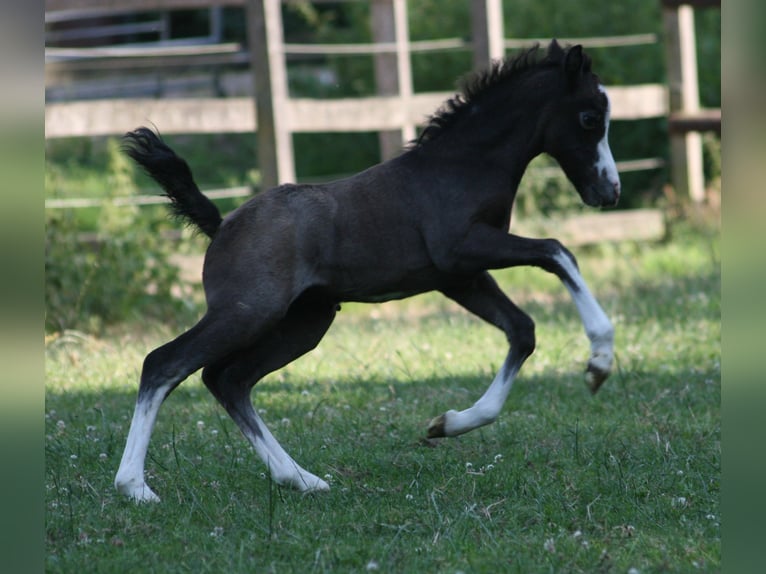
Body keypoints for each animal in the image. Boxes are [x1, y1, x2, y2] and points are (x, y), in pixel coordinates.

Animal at [117, 40, 620, 502]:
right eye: (590, 118)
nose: (610, 191)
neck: (461, 167)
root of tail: (221, 225)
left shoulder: (460, 277)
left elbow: (523, 329)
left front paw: (448, 424)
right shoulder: (463, 251)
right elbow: (557, 251)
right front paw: (599, 359)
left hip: (305, 322)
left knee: (228, 380)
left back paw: (301, 478)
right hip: (248, 311)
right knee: (164, 364)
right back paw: (135, 486)